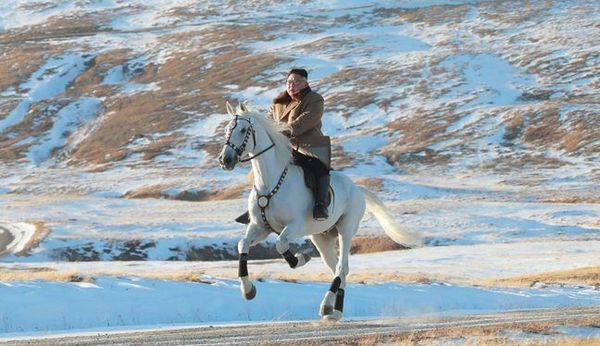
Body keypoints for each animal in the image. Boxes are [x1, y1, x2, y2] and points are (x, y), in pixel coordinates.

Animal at [218, 102, 420, 322]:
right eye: (227, 130)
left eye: (243, 130)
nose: (225, 160)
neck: (270, 182)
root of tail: (357, 188)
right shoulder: (259, 227)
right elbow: (242, 245)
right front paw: (248, 290)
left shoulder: (295, 226)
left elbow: (281, 244)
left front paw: (300, 259)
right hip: (321, 238)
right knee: (339, 270)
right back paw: (334, 310)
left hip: (345, 230)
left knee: (341, 268)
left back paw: (327, 307)